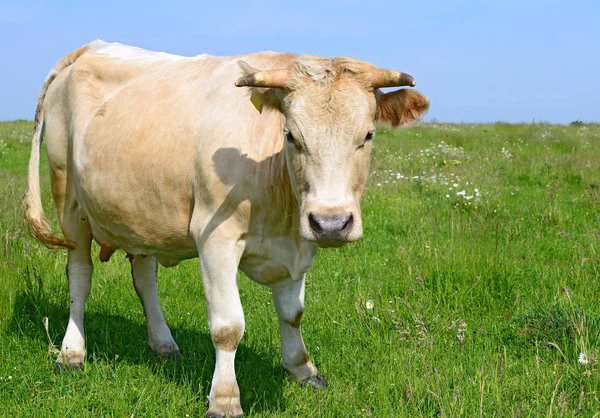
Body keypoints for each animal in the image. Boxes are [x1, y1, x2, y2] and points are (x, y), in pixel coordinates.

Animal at [23, 40, 426, 418]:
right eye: (292, 136)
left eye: (368, 135)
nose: (331, 223)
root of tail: (90, 47)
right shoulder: (216, 239)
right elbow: (228, 327)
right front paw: (225, 398)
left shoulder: (298, 246)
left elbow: (292, 313)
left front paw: (303, 369)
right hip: (69, 201)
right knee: (80, 276)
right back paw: (71, 353)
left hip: (139, 212)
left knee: (144, 277)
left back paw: (163, 343)